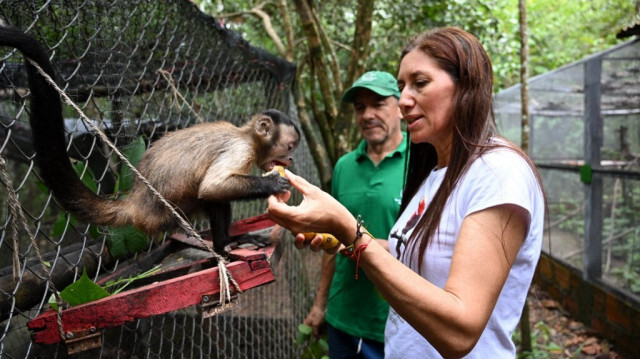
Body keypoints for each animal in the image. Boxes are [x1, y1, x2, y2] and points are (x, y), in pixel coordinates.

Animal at [0, 23, 300, 253]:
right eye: (289, 146)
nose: (290, 159)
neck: (246, 134)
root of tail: (135, 203)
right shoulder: (241, 147)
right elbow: (213, 186)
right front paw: (273, 183)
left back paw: (224, 242)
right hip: (166, 214)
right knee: (210, 195)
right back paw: (220, 244)